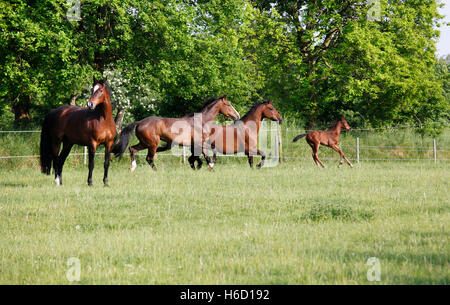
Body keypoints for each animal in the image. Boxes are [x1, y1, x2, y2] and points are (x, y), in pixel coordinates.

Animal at [111, 95, 239, 171]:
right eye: (228, 104)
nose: (237, 115)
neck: (201, 121)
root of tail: (140, 122)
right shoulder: (200, 144)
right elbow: (209, 155)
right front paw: (208, 167)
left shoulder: (196, 145)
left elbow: (199, 158)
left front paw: (201, 167)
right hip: (152, 144)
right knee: (149, 158)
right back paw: (155, 171)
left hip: (145, 143)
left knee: (132, 149)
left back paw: (132, 168)